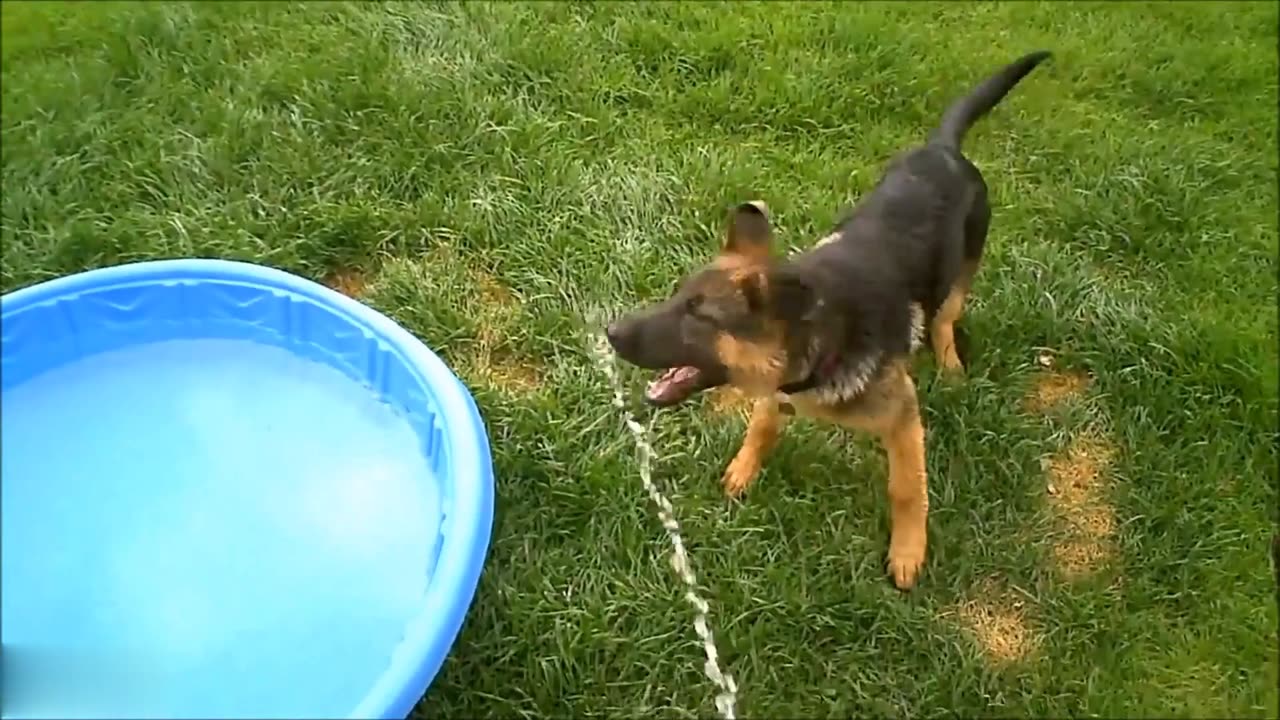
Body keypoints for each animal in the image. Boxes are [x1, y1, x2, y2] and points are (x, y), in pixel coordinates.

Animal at [604, 51, 1054, 589]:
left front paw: (908, 550)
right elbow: (763, 424)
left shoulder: (902, 415)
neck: (820, 343)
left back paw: (949, 361)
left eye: (700, 317)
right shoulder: (776, 389)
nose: (609, 332)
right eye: (676, 297)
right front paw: (745, 467)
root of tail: (943, 149)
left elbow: (907, 487)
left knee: (946, 317)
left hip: (963, 271)